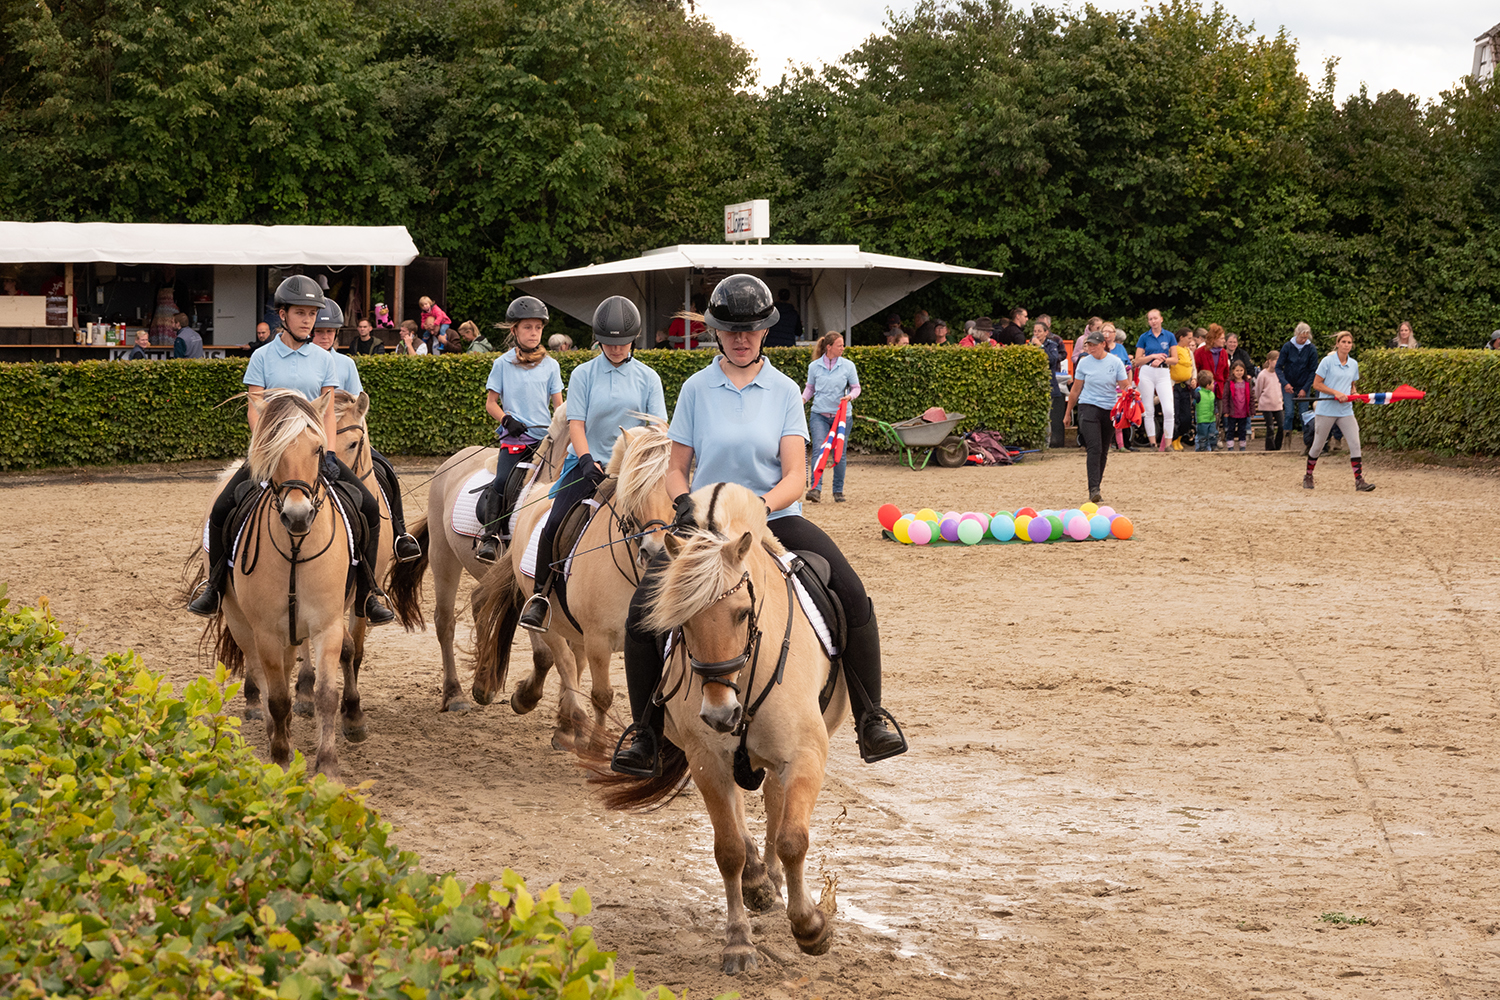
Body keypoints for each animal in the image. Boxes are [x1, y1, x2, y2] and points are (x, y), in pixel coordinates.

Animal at [194, 390, 356, 778]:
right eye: (272, 448)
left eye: (317, 449)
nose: (297, 516)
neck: (296, 546)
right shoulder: (266, 631)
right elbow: (278, 698)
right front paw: (281, 761)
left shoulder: (326, 626)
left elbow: (327, 695)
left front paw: (327, 767)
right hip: (242, 624)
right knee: (264, 680)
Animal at [386, 403, 570, 712]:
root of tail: (452, 460)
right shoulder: (526, 586)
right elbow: (546, 653)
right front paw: (524, 698)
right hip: (443, 556)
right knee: (445, 622)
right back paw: (456, 694)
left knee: (478, 601)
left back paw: (483, 682)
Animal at [470, 420, 676, 750]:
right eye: (633, 488)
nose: (654, 550)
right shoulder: (599, 639)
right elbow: (602, 695)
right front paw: (596, 747)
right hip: (549, 617)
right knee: (563, 661)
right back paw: (561, 716)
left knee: (572, 661)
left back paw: (566, 725)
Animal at [588, 483, 847, 975]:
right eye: (681, 621)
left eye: (743, 613)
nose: (720, 715)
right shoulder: (707, 760)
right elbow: (727, 849)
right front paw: (738, 941)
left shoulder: (805, 753)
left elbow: (793, 838)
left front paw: (810, 927)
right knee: (747, 821)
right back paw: (758, 882)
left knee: (776, 810)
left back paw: (773, 881)